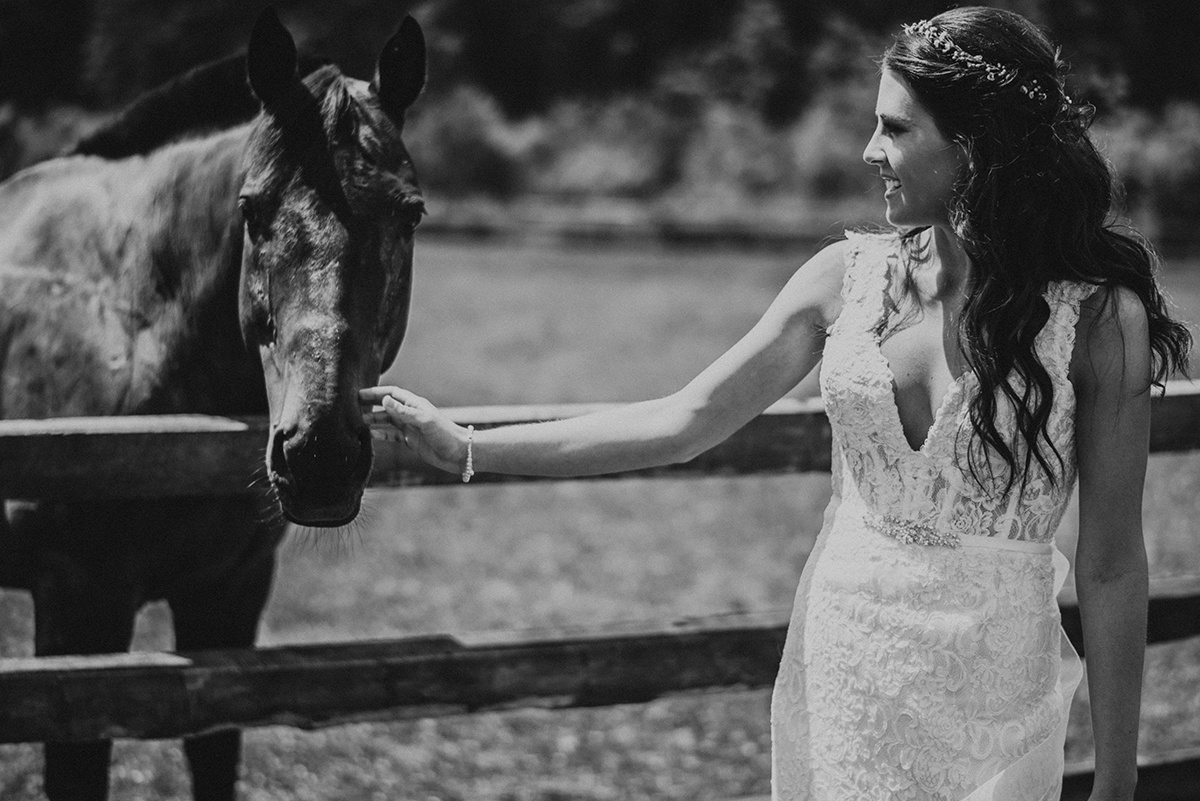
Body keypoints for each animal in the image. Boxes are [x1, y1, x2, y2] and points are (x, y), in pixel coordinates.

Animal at [0, 7, 427, 801]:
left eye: (411, 214)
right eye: (252, 209)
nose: (319, 455)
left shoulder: (227, 595)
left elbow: (214, 752)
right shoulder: (79, 608)